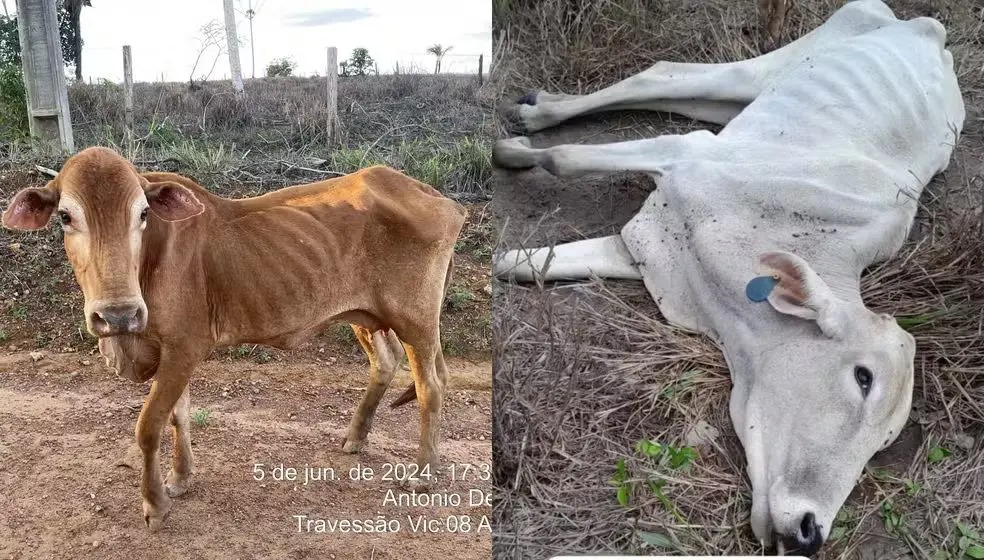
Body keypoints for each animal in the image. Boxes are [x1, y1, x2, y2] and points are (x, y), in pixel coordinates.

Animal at [1, 147, 468, 532]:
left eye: (143, 214)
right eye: (65, 216)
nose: (118, 314)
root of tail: (437, 196)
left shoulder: (185, 348)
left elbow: (149, 426)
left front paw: (155, 505)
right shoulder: (172, 353)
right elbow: (178, 416)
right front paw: (180, 478)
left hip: (417, 320)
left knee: (431, 386)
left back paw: (423, 473)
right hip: (366, 316)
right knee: (385, 363)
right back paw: (355, 438)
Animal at [496, 0, 964, 552]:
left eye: (886, 441)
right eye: (863, 377)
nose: (810, 533)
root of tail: (929, 30)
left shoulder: (643, 250)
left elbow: (524, 262)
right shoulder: (685, 154)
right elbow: (563, 157)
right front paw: (509, 152)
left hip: (742, 100)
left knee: (678, 83)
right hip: (778, 64)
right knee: (661, 74)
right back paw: (533, 115)